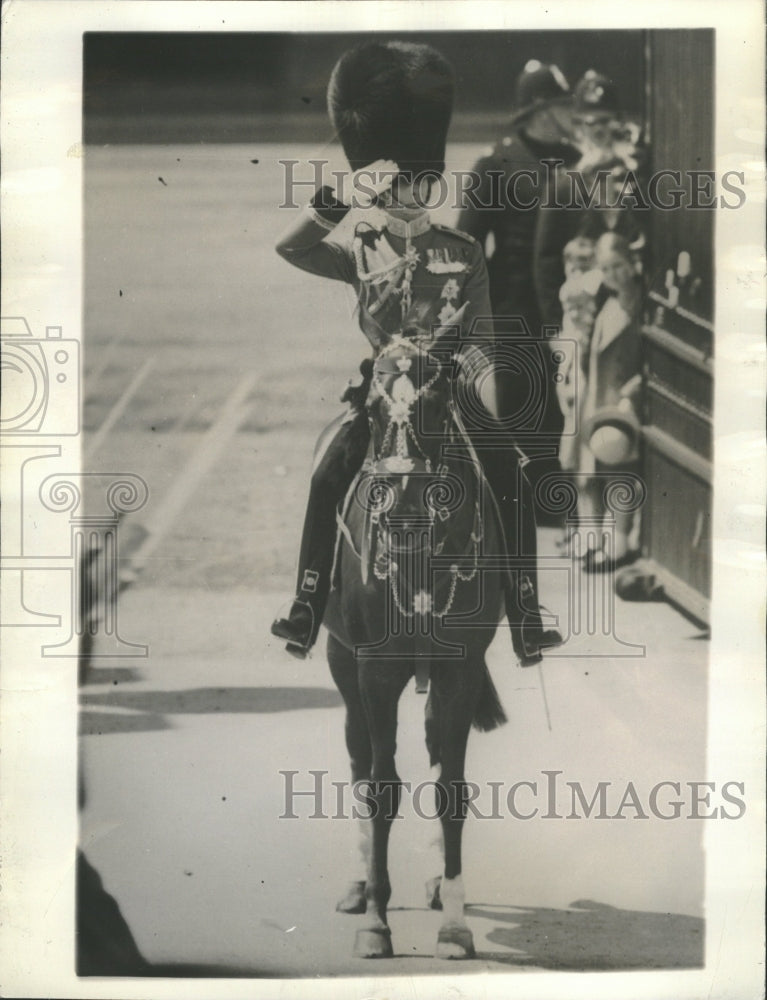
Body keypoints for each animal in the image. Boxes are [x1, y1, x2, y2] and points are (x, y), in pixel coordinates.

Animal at [326, 338, 510, 960]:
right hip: (342, 665)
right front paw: (377, 921)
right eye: (373, 411)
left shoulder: (460, 672)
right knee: (359, 759)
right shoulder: (375, 673)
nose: (403, 512)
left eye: (435, 409)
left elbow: (450, 791)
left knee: (431, 748)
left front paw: (454, 923)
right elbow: (381, 789)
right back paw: (359, 883)